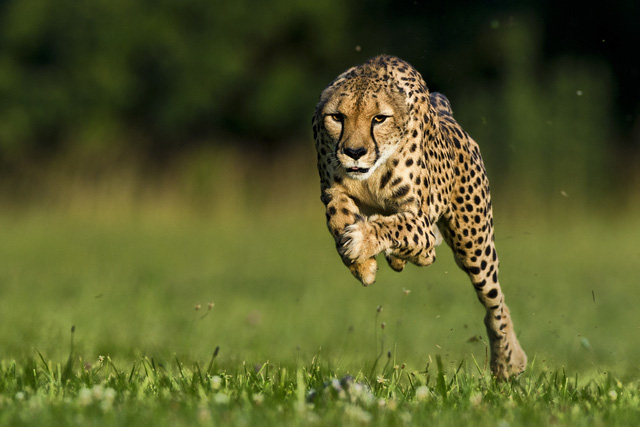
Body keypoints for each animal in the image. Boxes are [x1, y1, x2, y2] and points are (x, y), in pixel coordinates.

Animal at [312, 55, 528, 380]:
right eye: (337, 117)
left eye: (379, 118)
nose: (354, 151)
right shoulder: (332, 190)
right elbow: (337, 216)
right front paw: (362, 265)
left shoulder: (420, 220)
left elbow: (396, 226)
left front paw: (362, 241)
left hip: (473, 245)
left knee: (495, 301)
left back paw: (508, 361)